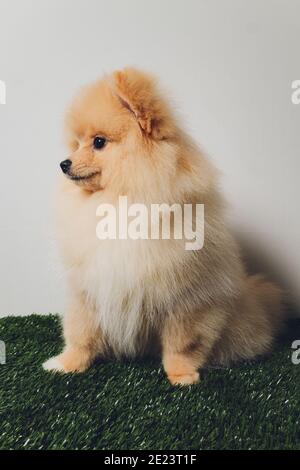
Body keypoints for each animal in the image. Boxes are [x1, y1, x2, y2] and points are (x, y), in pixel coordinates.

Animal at [42, 68, 284, 384]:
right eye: (77, 143)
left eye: (98, 142)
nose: (64, 163)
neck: (120, 200)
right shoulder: (88, 290)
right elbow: (81, 333)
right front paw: (67, 363)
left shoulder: (186, 300)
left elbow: (182, 343)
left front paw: (181, 375)